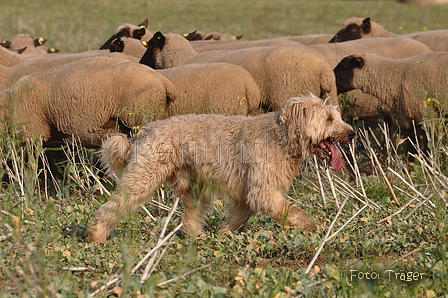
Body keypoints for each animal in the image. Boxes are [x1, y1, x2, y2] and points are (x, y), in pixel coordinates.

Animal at [86, 92, 354, 242]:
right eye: (329, 119)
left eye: (337, 117)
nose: (351, 133)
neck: (282, 136)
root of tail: (146, 130)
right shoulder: (263, 191)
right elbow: (294, 212)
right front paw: (314, 227)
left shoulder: (249, 194)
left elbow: (238, 216)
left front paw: (224, 233)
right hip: (142, 178)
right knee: (113, 207)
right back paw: (97, 234)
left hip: (193, 188)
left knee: (190, 218)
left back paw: (196, 236)